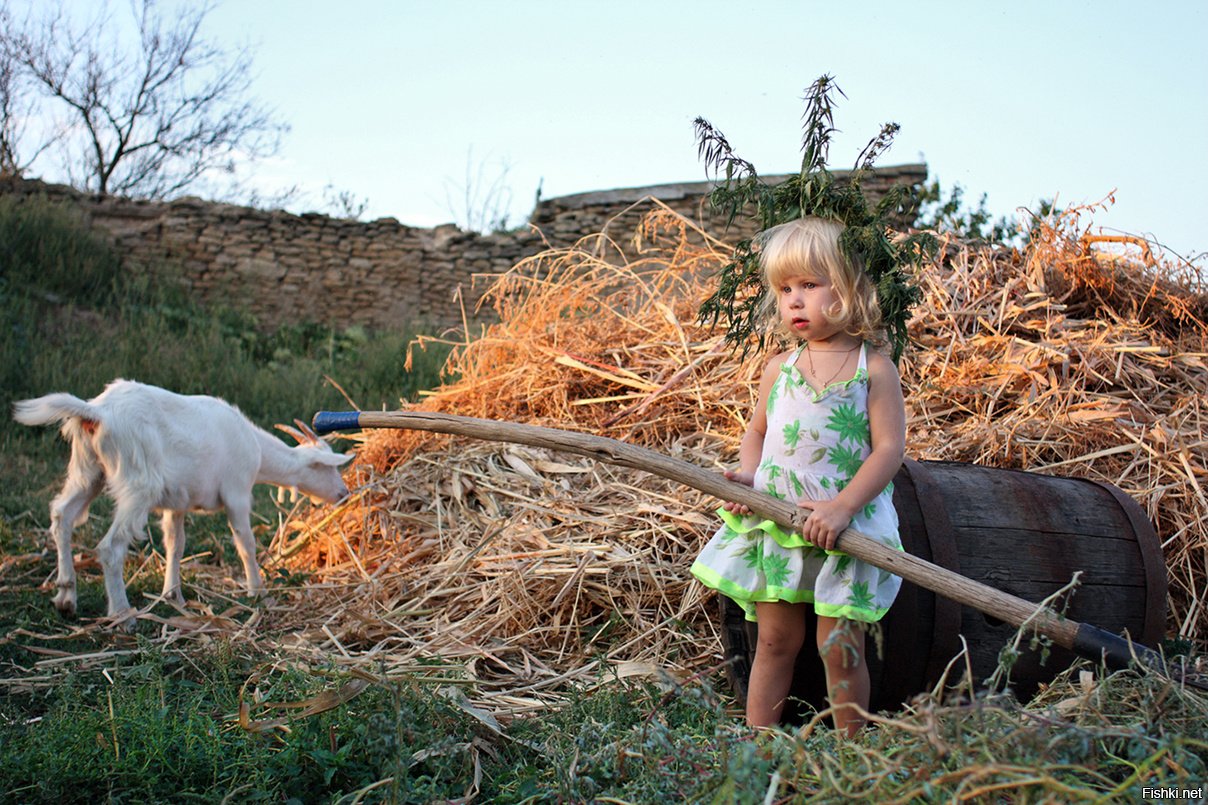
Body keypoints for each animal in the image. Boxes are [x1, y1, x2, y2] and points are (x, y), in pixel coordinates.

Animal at [14, 379, 352, 623]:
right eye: (329, 467)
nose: (344, 494)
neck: (255, 448)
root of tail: (98, 413)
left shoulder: (176, 503)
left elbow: (175, 545)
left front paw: (172, 596)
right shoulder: (237, 492)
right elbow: (246, 544)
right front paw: (258, 591)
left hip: (88, 470)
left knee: (62, 515)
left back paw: (66, 598)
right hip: (139, 484)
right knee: (110, 546)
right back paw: (123, 615)